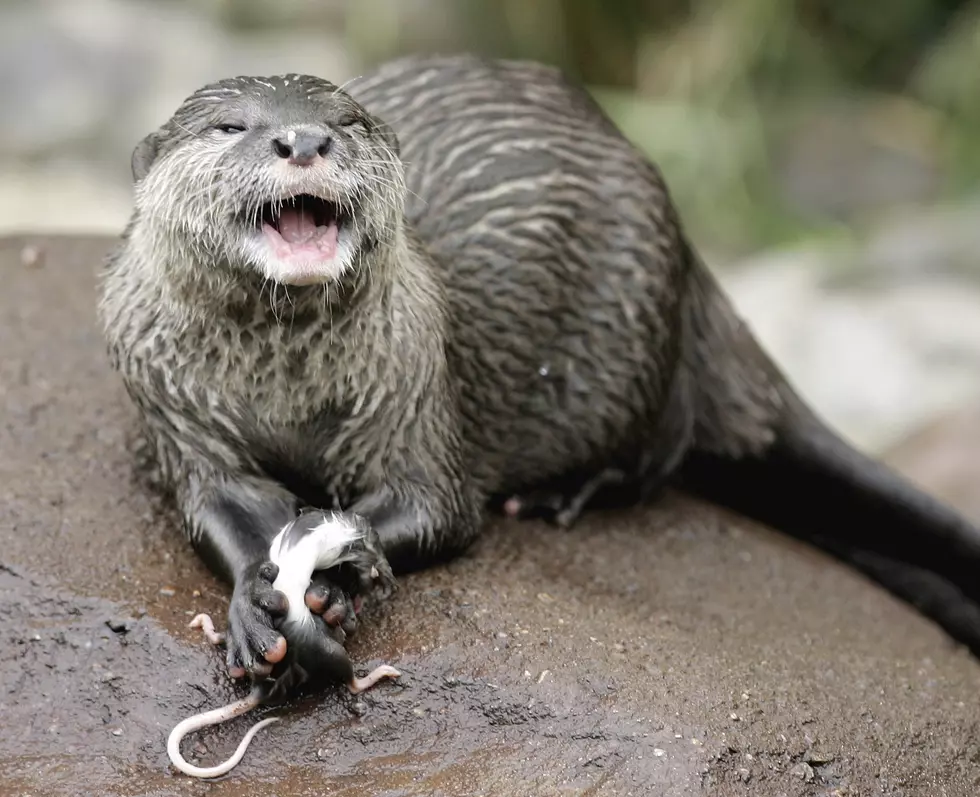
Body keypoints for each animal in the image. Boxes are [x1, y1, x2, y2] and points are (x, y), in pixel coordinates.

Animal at [97, 54, 980, 692]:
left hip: (635, 321)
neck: (286, 392)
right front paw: (255, 603)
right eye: (230, 126)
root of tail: (691, 260)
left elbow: (439, 506)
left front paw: (334, 580)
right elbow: (218, 510)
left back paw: (562, 492)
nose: (306, 141)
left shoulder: (417, 388)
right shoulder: (175, 410)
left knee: (657, 450)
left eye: (347, 121)